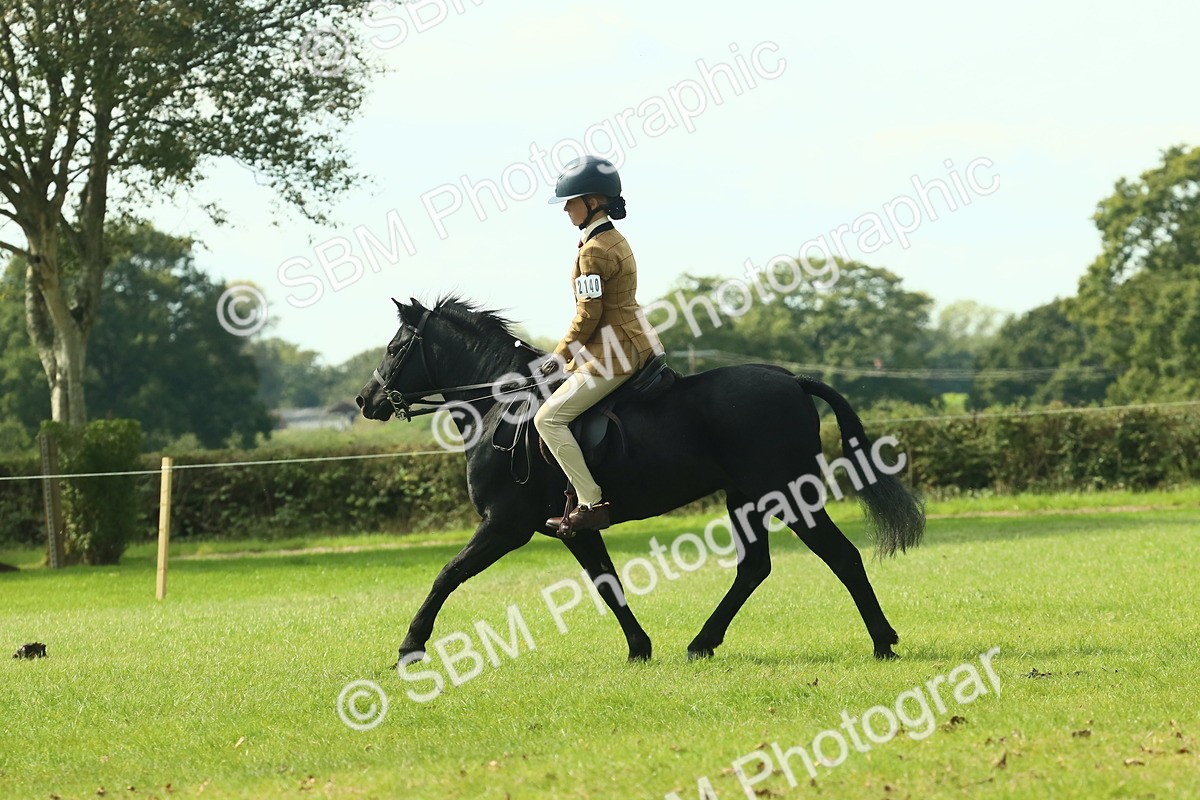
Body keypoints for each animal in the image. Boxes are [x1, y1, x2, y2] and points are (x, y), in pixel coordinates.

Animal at [355, 296, 925, 663]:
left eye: (395, 347)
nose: (366, 399)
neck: (501, 406)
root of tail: (791, 378)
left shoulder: (505, 526)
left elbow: (446, 575)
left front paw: (410, 646)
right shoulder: (574, 527)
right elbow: (607, 583)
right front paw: (639, 648)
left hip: (786, 494)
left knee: (841, 557)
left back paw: (883, 642)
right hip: (744, 498)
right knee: (754, 568)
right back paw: (702, 643)